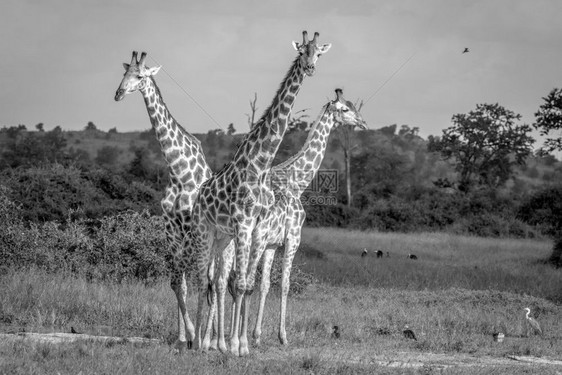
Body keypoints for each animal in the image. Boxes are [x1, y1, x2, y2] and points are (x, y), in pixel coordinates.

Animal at [113, 51, 230, 352]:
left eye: (140, 76)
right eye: (123, 73)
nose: (118, 94)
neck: (178, 172)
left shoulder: (192, 230)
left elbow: (201, 283)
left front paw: (196, 337)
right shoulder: (172, 232)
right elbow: (178, 284)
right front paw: (183, 337)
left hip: (223, 247)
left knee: (218, 282)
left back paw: (214, 340)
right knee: (208, 282)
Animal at [186, 30, 330, 356]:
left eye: (319, 54)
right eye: (301, 51)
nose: (310, 68)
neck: (260, 163)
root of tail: (199, 194)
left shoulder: (255, 228)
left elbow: (247, 283)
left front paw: (241, 344)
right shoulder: (244, 223)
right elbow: (240, 284)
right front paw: (236, 346)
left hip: (222, 237)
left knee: (214, 281)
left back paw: (208, 340)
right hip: (204, 231)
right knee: (202, 280)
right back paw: (198, 343)